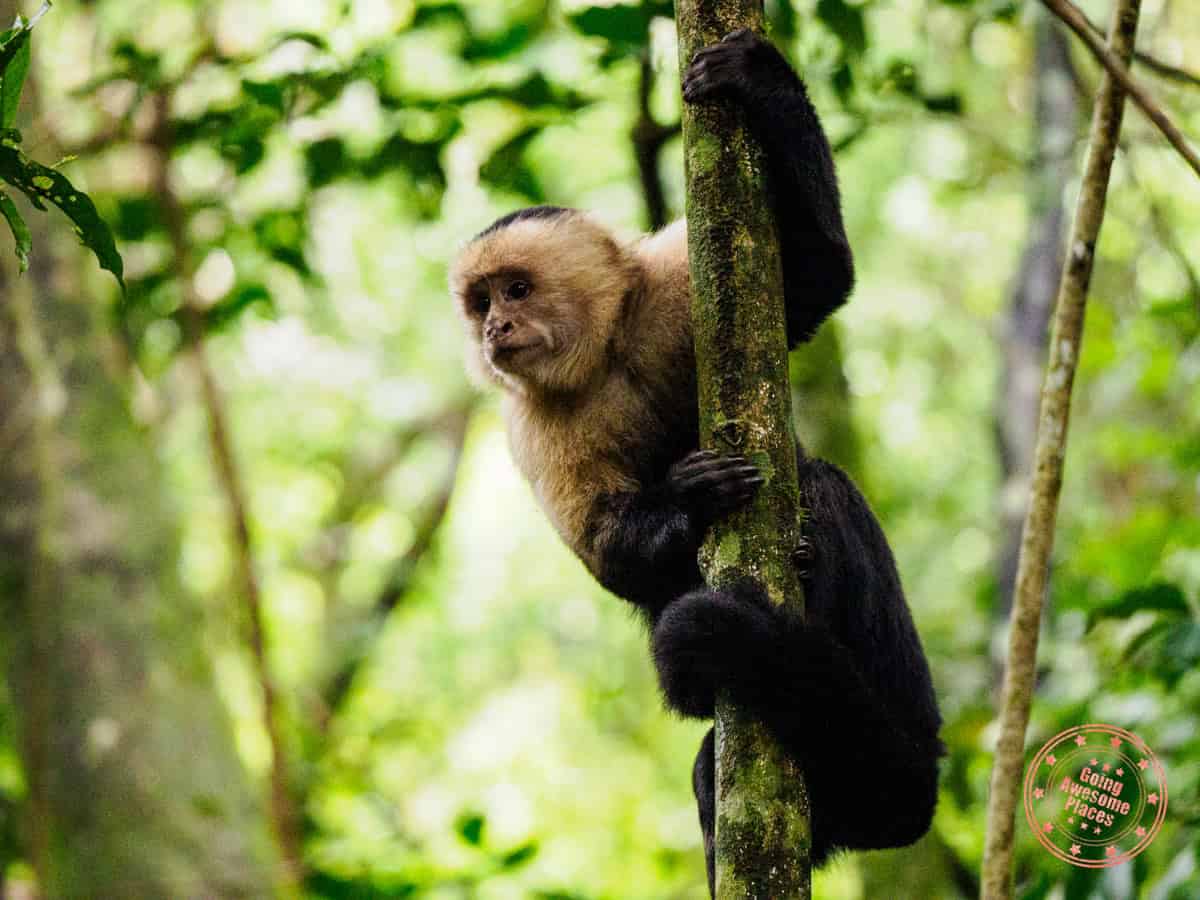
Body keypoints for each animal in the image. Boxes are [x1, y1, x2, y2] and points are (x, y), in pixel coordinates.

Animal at [449, 28, 941, 892]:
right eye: (481, 303)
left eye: (516, 289)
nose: (493, 332)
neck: (605, 356)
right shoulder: (530, 422)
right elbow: (609, 553)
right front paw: (691, 496)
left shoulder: (672, 286)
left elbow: (819, 275)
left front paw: (759, 78)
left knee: (824, 489)